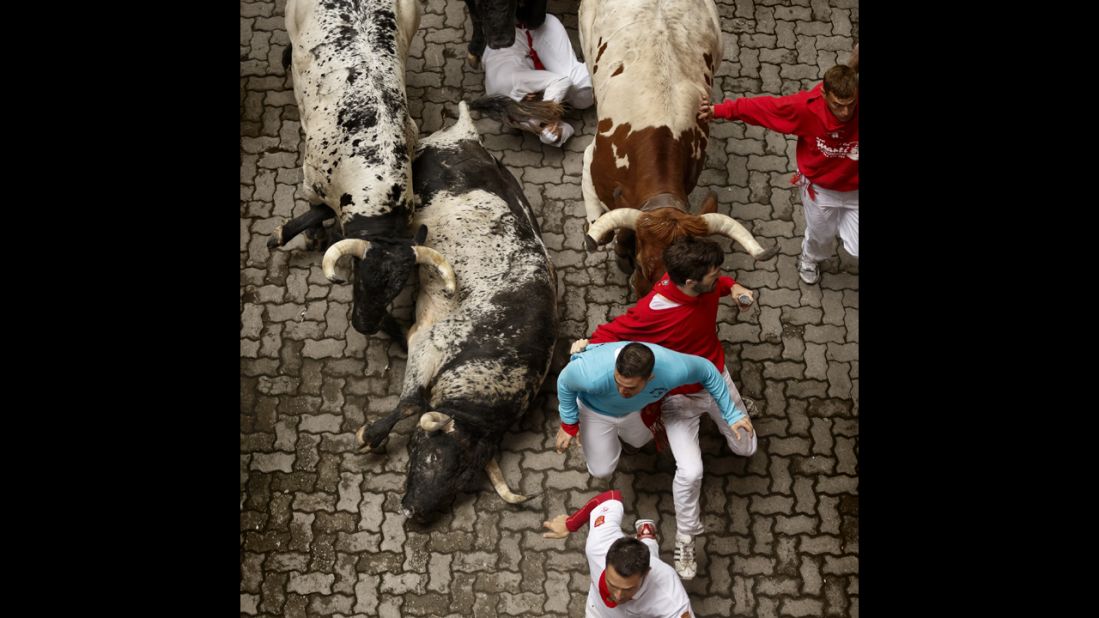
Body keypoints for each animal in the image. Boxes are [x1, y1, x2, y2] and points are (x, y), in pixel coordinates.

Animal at [353, 101, 558, 519]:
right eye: (428, 454)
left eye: (463, 481)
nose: (414, 512)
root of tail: (466, 134)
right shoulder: (428, 342)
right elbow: (411, 403)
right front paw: (372, 434)